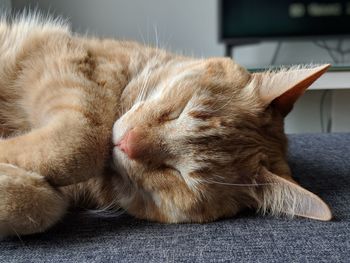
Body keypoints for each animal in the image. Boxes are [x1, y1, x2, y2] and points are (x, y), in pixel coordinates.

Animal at [0, 13, 330, 238]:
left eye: (177, 174)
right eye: (180, 112)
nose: (126, 142)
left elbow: (44, 206)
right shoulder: (61, 58)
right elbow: (80, 144)